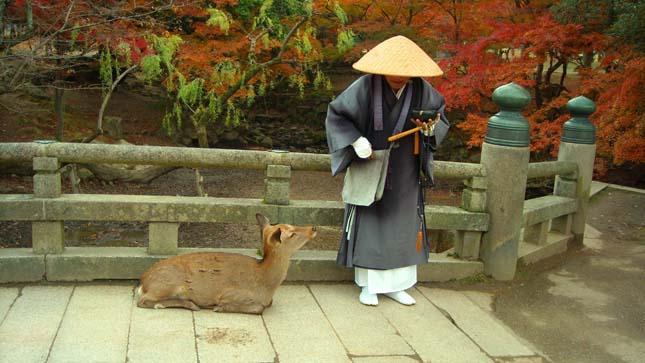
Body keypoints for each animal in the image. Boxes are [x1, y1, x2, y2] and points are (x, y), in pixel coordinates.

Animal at [136, 215, 316, 314]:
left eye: (291, 226)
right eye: (291, 234)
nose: (313, 228)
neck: (266, 286)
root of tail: (143, 282)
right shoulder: (231, 294)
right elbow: (259, 308)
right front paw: (220, 307)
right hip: (165, 284)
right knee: (143, 301)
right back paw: (190, 304)